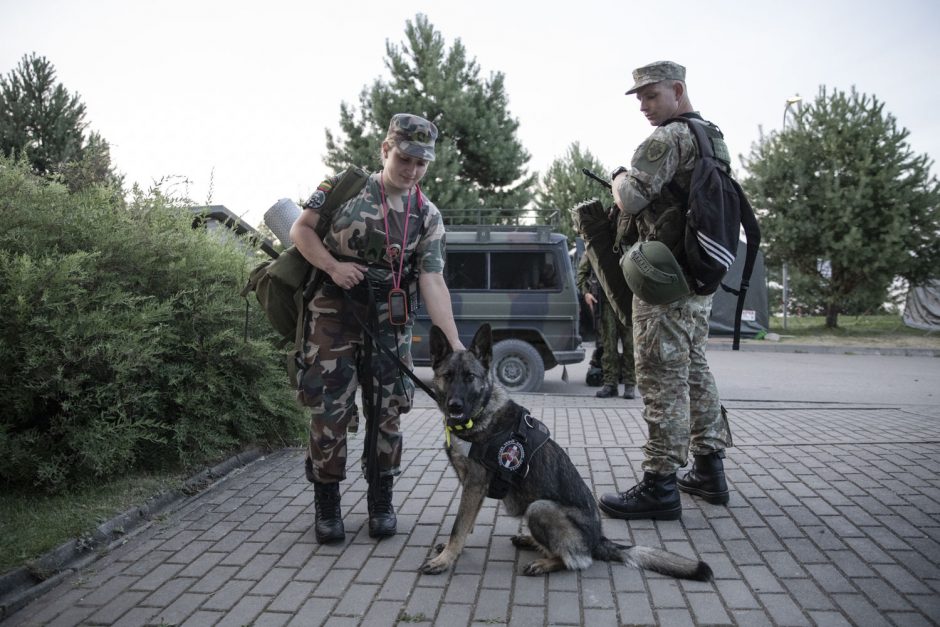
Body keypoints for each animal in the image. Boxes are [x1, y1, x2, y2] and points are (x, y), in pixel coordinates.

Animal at [420, 326, 712, 580]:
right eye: (447, 376)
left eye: (470, 377)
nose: (455, 405)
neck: (479, 415)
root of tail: (598, 539)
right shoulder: (471, 485)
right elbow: (465, 523)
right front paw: (453, 550)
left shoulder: (475, 483)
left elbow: (459, 526)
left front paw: (445, 559)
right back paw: (530, 541)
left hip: (539, 508)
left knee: (578, 560)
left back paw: (544, 562)